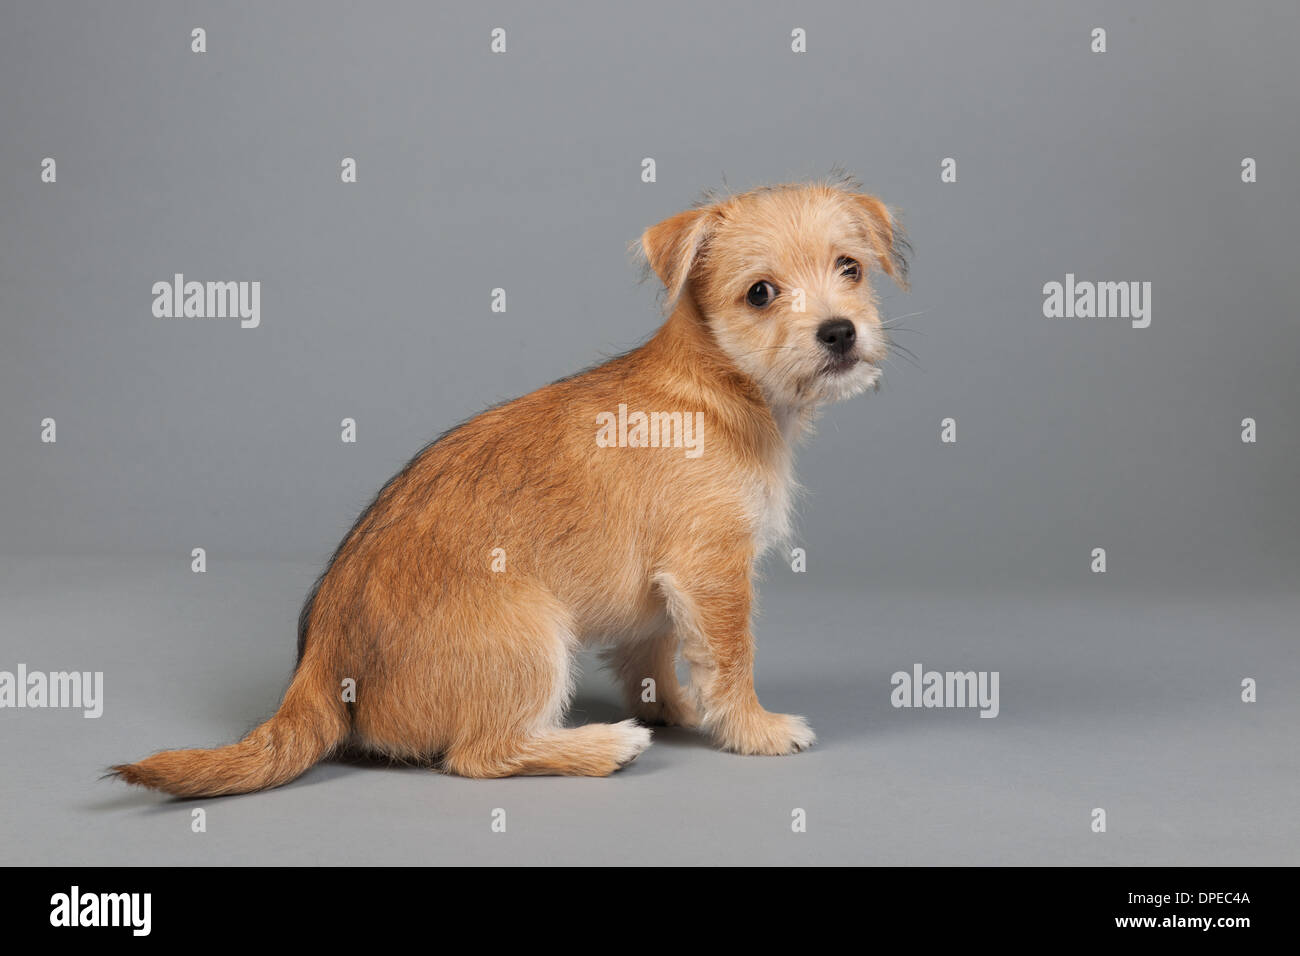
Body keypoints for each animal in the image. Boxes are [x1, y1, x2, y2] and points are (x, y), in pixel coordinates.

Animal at [111, 175, 909, 796]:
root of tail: (319, 663)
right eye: (761, 294)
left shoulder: (663, 593)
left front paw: (680, 708)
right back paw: (602, 746)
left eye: (850, 269)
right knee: (480, 756)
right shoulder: (710, 570)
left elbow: (655, 656)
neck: (719, 386)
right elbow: (732, 658)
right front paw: (753, 728)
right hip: (529, 638)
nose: (839, 331)